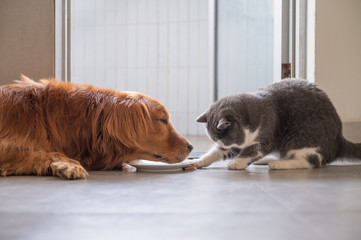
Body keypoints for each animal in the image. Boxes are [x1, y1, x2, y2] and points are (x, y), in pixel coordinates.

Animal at [193, 79, 360, 170]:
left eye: (222, 138)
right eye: (215, 139)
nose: (222, 144)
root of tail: (339, 141)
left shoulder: (264, 137)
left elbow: (250, 152)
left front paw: (237, 163)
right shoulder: (236, 144)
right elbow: (214, 153)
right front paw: (198, 161)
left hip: (302, 138)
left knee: (311, 161)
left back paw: (277, 164)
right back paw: (267, 160)